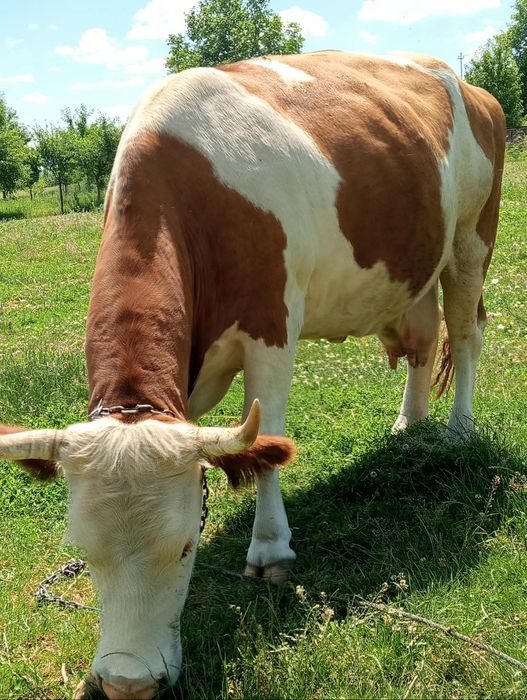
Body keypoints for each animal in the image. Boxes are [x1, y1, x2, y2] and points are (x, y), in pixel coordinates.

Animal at [0, 51, 505, 699]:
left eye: (186, 548)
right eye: (83, 555)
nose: (128, 683)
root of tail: (463, 81)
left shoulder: (273, 329)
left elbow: (266, 445)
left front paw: (270, 548)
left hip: (472, 238)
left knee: (465, 336)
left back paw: (457, 431)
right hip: (413, 262)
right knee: (422, 339)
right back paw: (407, 426)